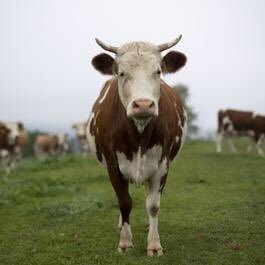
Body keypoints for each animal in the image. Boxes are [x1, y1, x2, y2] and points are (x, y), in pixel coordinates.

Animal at [85, 36, 187, 255]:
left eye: (158, 71)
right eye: (121, 73)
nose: (143, 105)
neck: (139, 136)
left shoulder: (162, 165)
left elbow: (153, 205)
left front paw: (154, 244)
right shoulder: (113, 166)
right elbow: (124, 202)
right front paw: (124, 242)